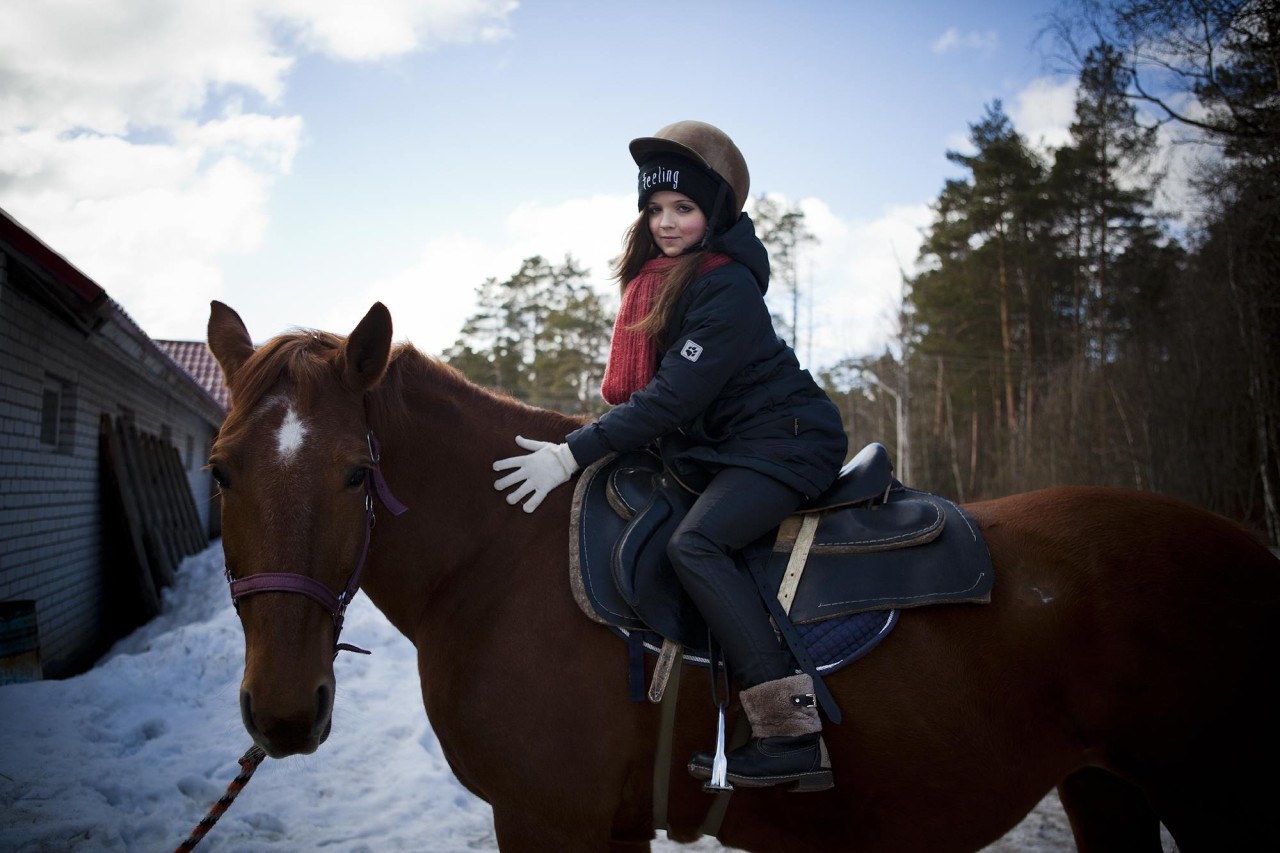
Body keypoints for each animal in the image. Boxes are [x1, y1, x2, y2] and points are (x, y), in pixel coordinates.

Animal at [207, 300, 1280, 850]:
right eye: (219, 470)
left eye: (356, 472)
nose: (283, 713)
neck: (500, 560)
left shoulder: (549, 819)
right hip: (1106, 790)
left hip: (1212, 802)